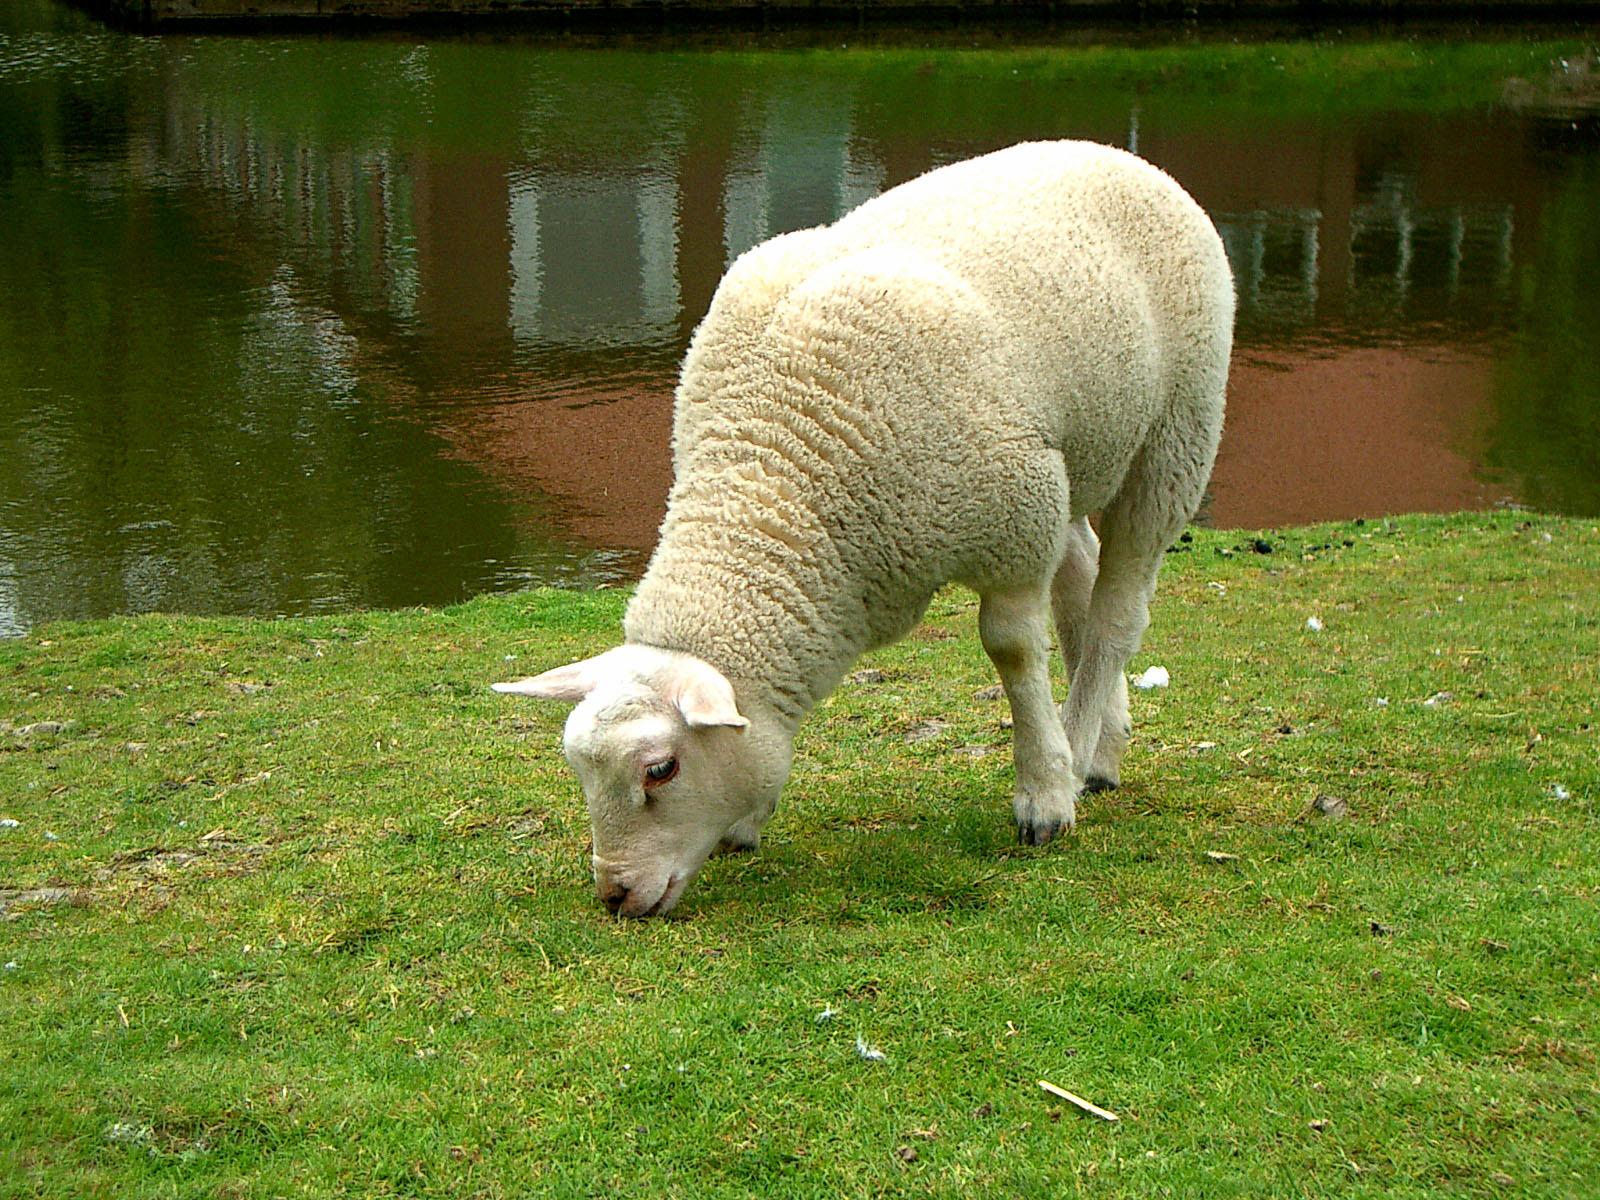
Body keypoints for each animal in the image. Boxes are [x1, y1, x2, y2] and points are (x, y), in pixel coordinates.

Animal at [495, 140, 1234, 918]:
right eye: (579, 769)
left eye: (661, 769)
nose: (615, 894)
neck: (777, 463)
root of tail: (1114, 152)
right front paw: (749, 820)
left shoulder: (1011, 529)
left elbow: (1011, 652)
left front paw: (1044, 796)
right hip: (1068, 455)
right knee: (1081, 579)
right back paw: (1102, 746)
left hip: (1174, 435)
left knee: (1117, 610)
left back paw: (1081, 741)